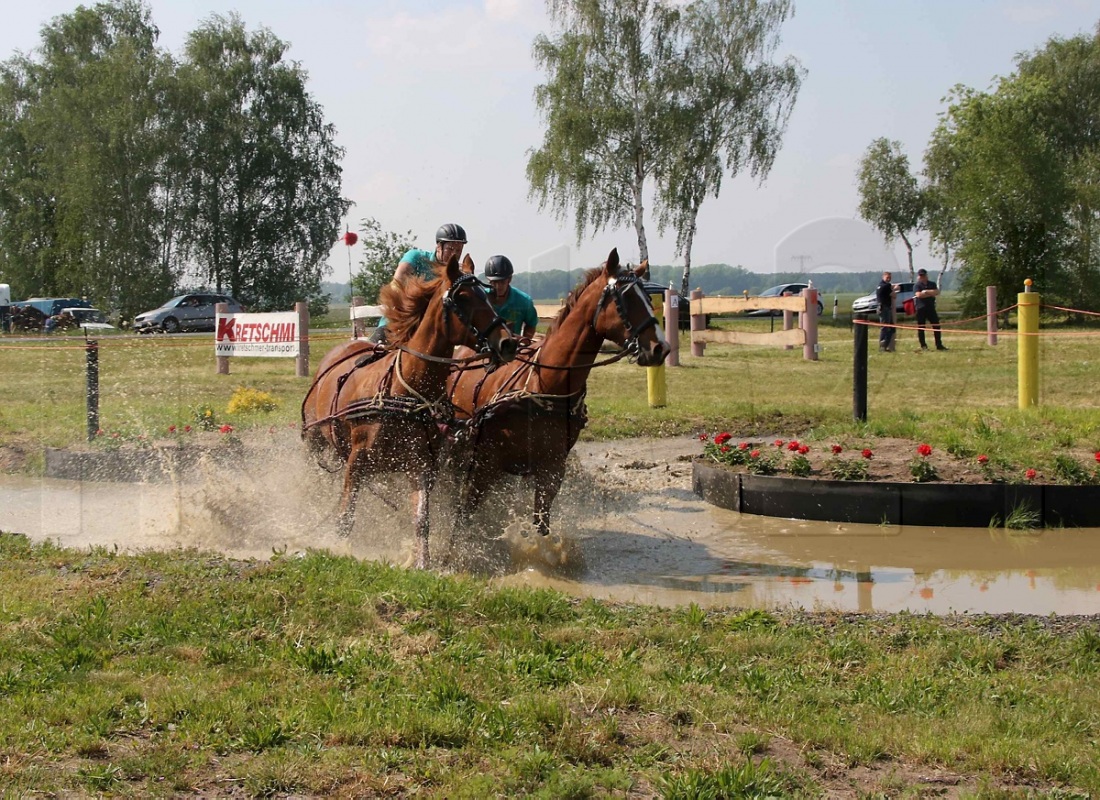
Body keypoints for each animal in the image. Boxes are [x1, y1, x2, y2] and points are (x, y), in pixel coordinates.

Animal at [303, 256, 517, 567]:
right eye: (463, 298)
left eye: (487, 296)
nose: (509, 342)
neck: (406, 394)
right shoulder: (357, 460)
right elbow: (346, 515)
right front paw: (336, 547)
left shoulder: (420, 465)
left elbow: (421, 519)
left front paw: (422, 563)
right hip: (314, 440)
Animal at [444, 248, 668, 539]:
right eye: (625, 298)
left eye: (648, 298)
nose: (660, 348)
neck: (548, 387)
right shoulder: (484, 462)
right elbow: (464, 514)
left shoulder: (552, 468)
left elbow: (541, 522)